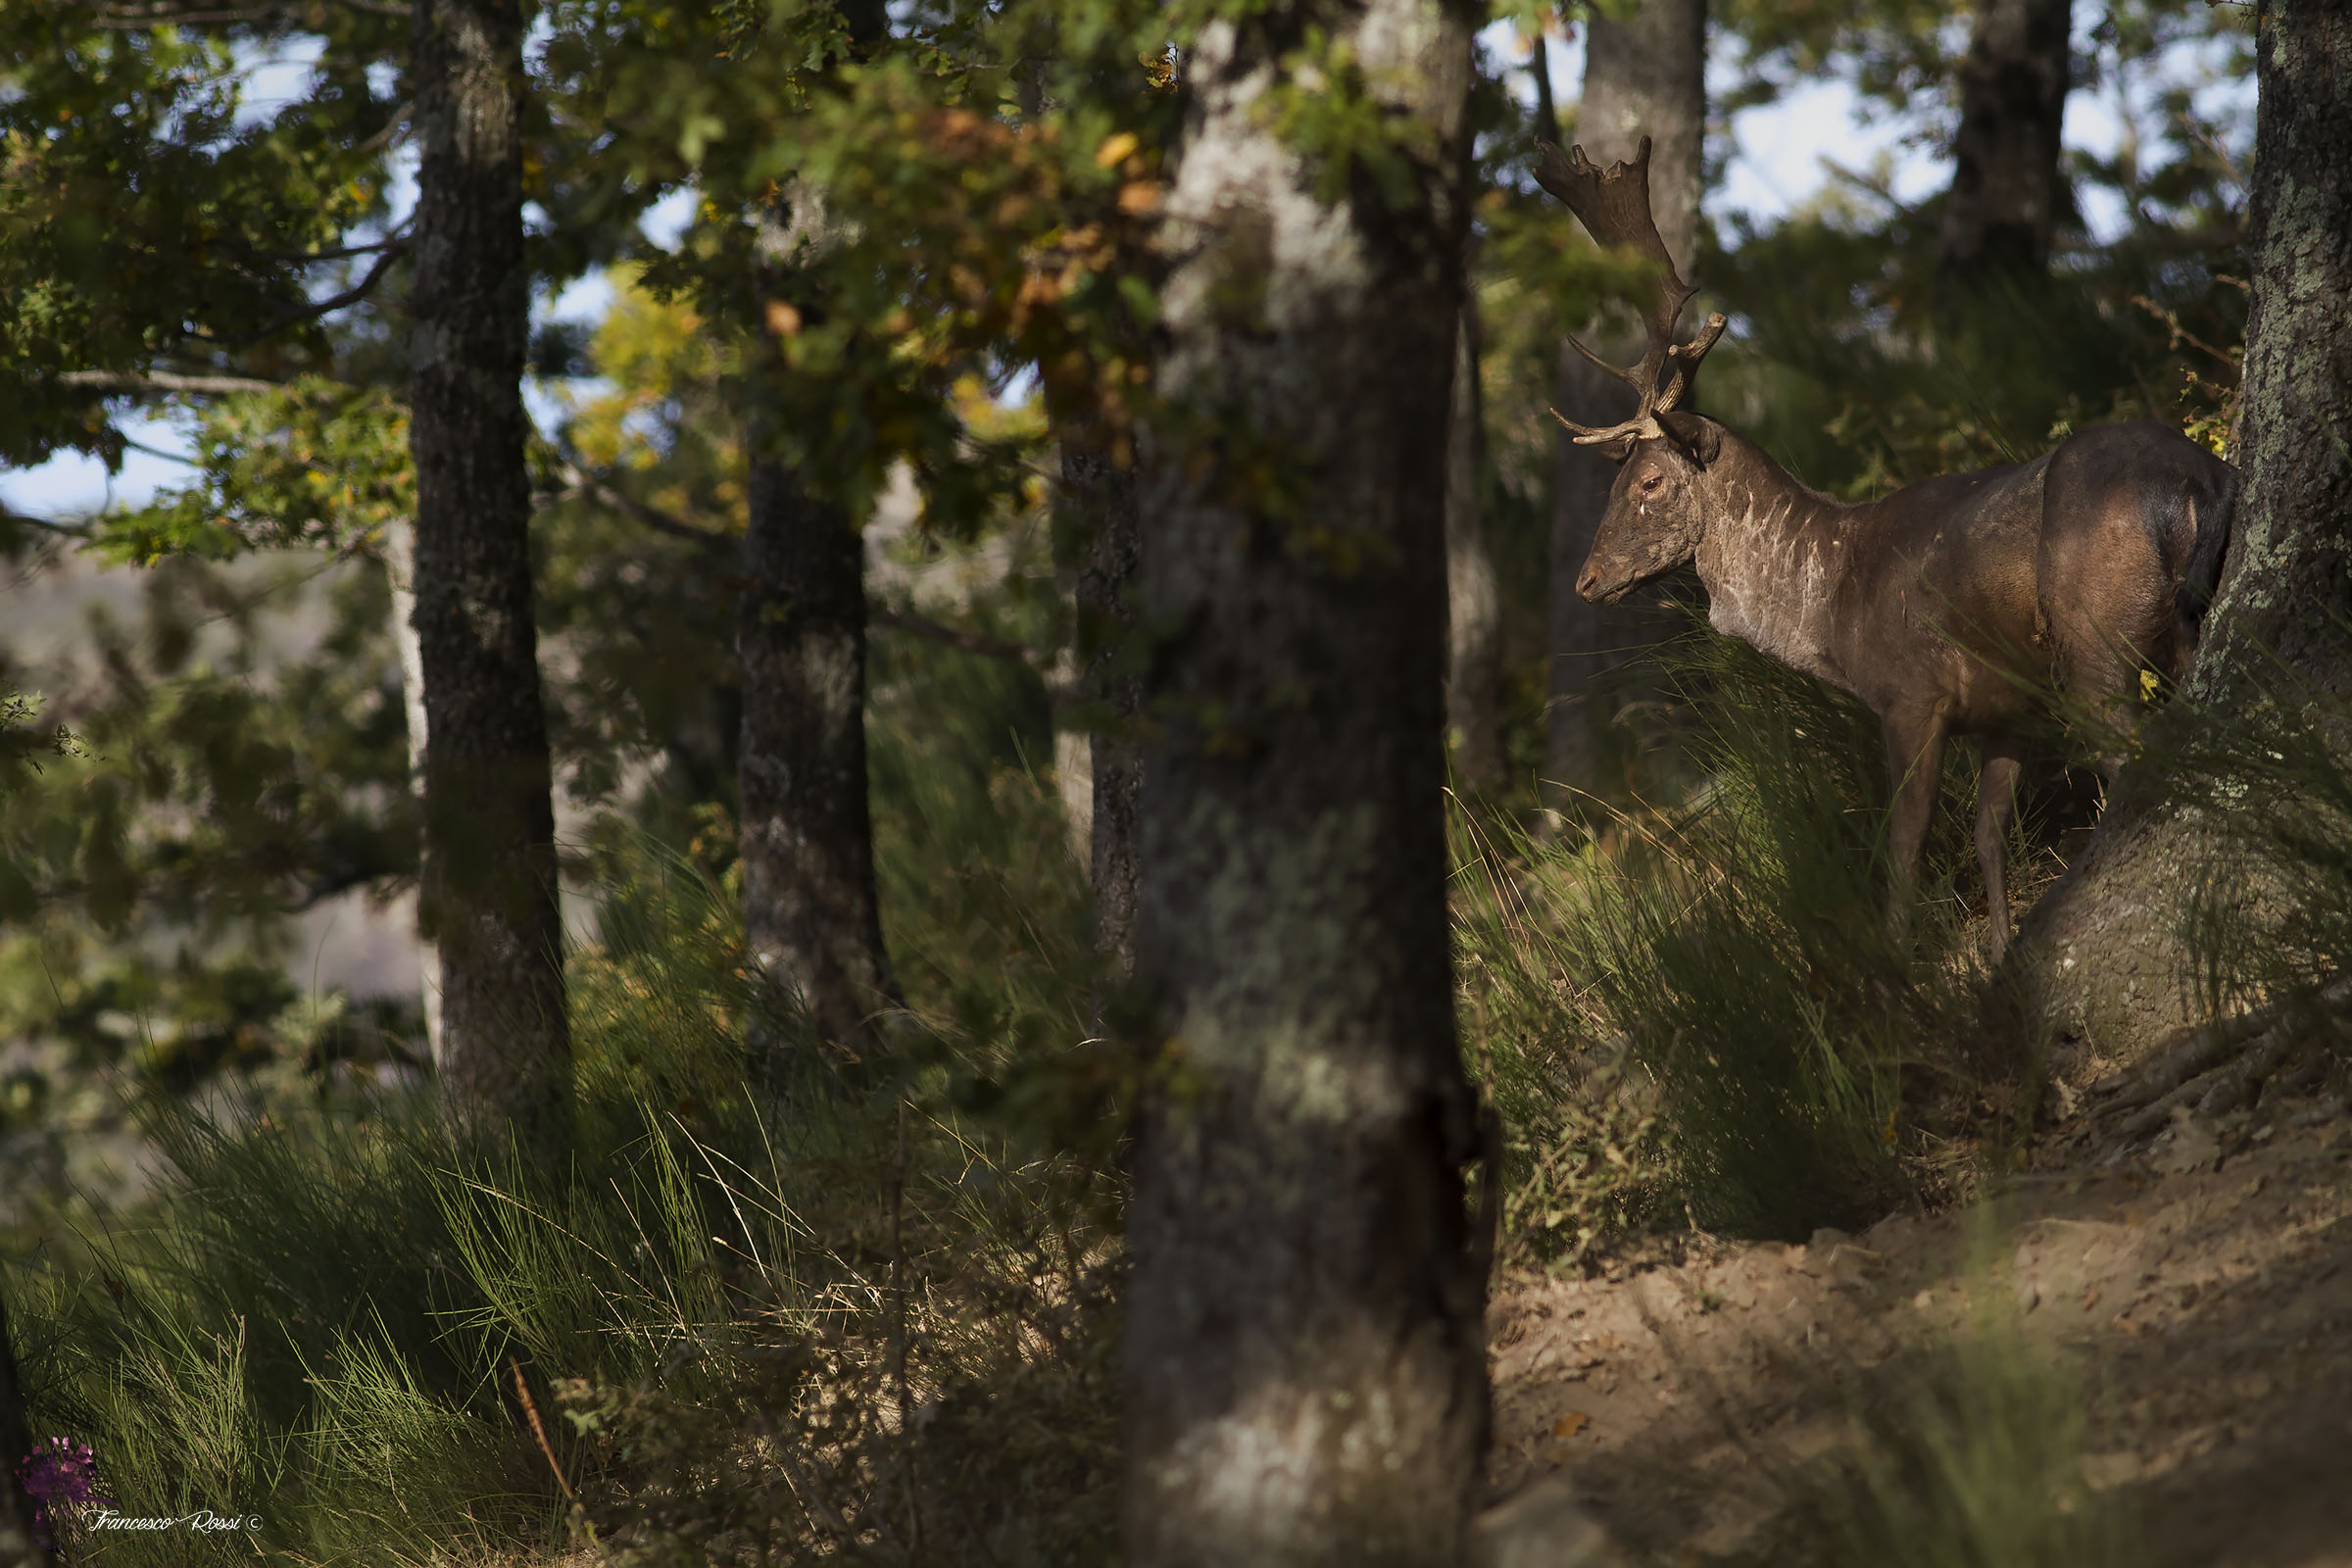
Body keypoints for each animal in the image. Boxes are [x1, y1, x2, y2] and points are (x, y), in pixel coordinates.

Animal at [1533, 135, 2239, 962]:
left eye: (1647, 481)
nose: (1587, 580)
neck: (1832, 598)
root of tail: (2197, 477)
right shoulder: (2006, 707)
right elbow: (1989, 835)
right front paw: (1999, 954)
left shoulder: (1911, 694)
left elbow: (1904, 842)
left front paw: (1898, 956)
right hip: (2187, 622)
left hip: (2097, 634)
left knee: (2130, 757)